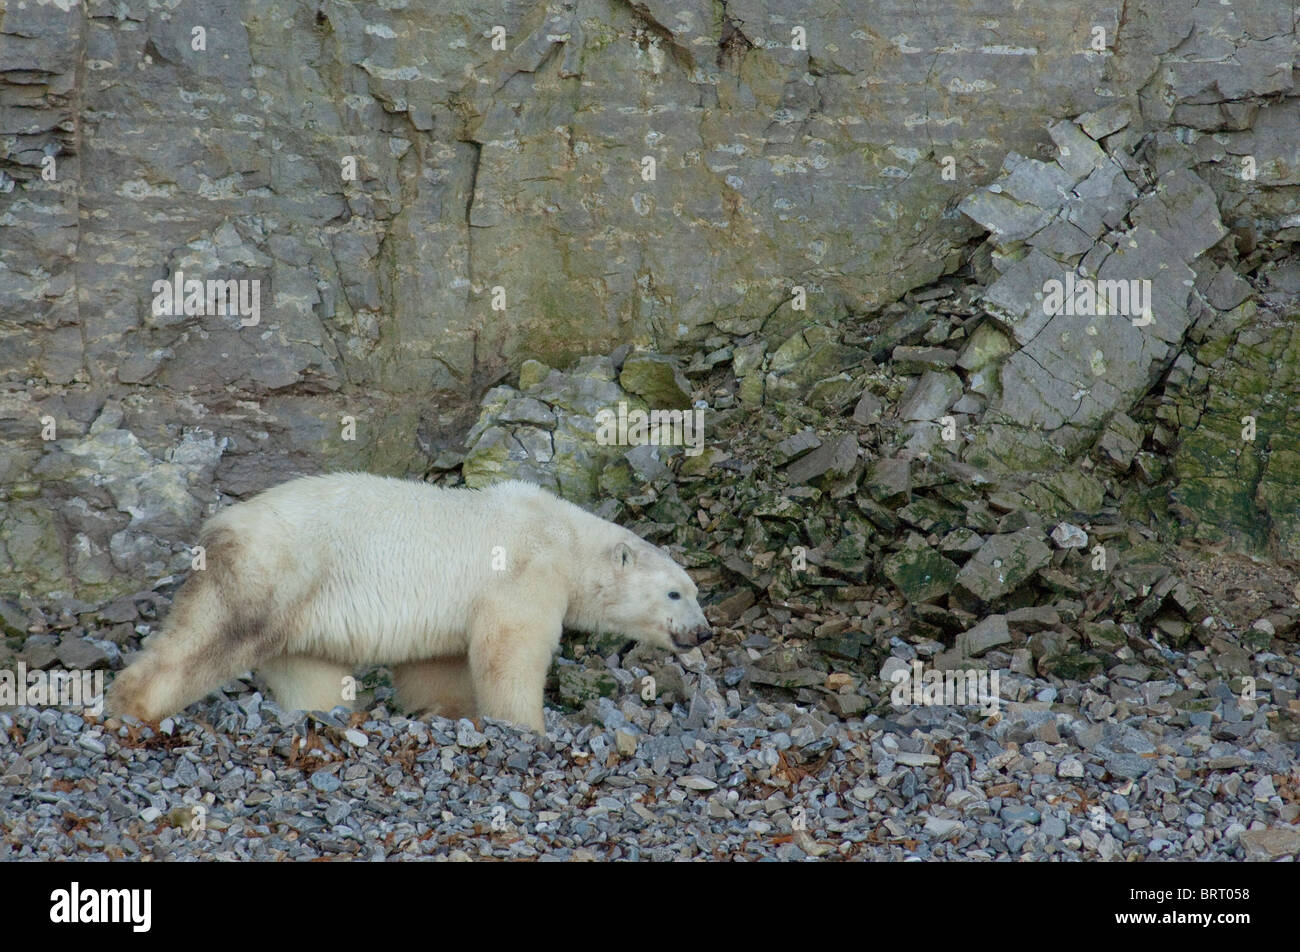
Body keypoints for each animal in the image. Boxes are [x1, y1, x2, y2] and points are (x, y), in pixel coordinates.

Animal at [106, 473, 717, 728]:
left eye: (695, 592)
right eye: (675, 591)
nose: (702, 632)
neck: (565, 537)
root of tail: (218, 526)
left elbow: (438, 664)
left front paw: (444, 712)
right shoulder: (523, 571)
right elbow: (511, 649)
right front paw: (528, 726)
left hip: (301, 604)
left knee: (307, 668)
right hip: (272, 570)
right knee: (211, 634)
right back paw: (135, 706)